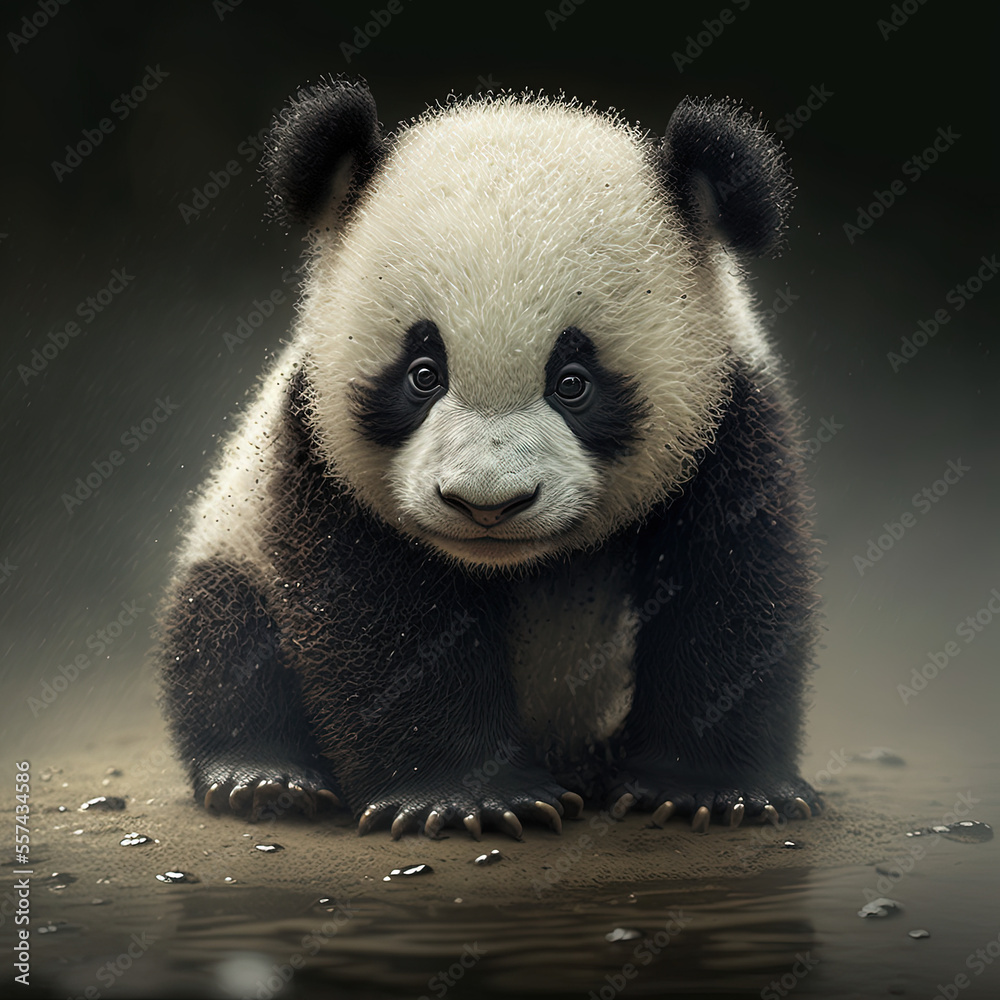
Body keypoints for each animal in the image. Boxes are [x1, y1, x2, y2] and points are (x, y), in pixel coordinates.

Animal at [158, 78, 822, 840]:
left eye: (574, 382)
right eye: (423, 374)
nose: (486, 504)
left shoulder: (728, 419)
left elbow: (730, 584)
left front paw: (704, 789)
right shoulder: (315, 449)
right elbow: (380, 612)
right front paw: (464, 797)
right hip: (234, 540)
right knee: (223, 632)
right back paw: (262, 774)